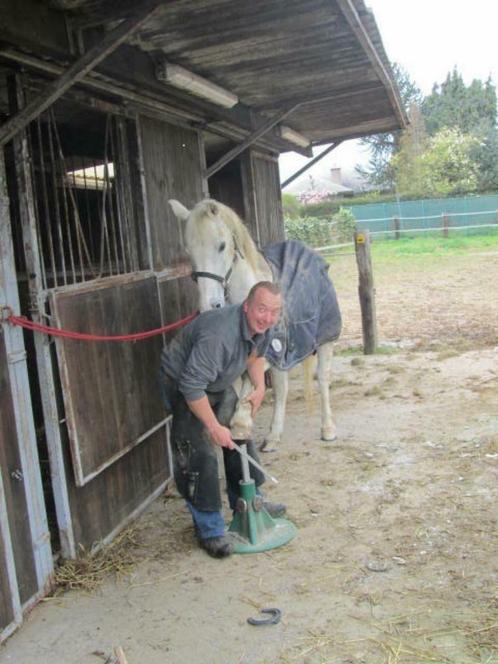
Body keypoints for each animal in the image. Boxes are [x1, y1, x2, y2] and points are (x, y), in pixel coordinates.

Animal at [169, 195, 340, 448]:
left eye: (221, 245)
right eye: (189, 251)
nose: (210, 305)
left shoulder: (268, 351)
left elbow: (247, 396)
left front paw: (242, 425)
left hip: (325, 341)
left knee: (323, 379)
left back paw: (327, 428)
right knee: (281, 388)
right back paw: (273, 437)